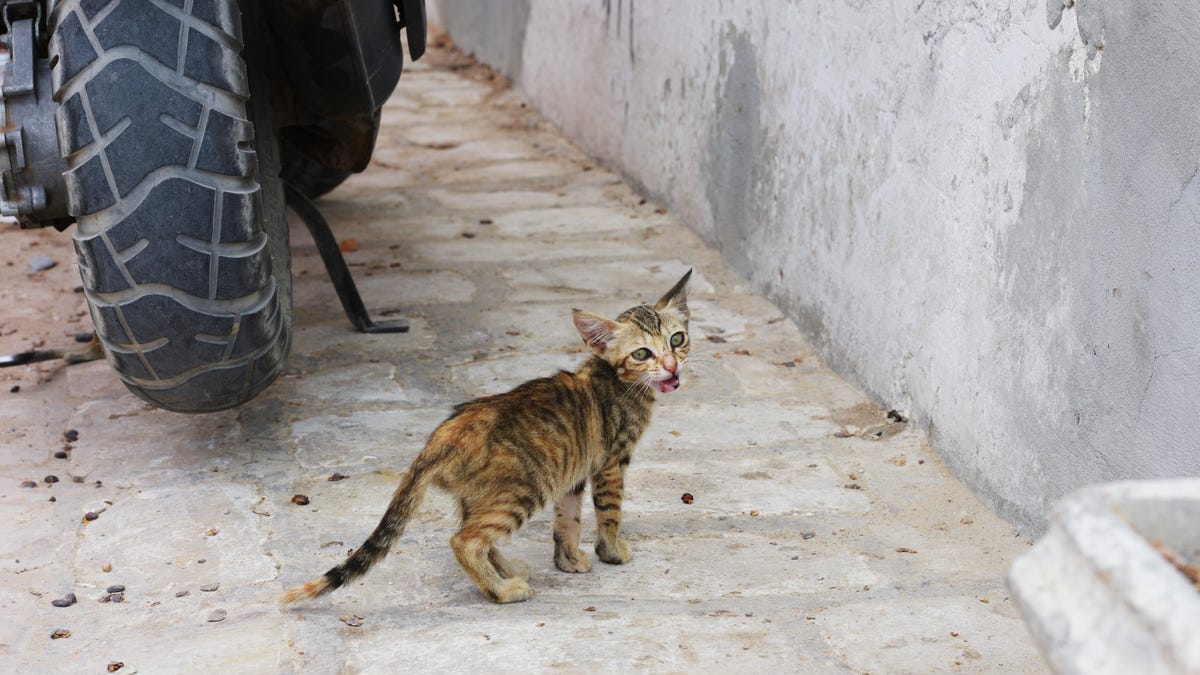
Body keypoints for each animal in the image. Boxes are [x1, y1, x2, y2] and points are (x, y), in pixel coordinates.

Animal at [283, 267, 696, 605]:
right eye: (642, 353)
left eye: (677, 340)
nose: (671, 367)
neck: (615, 378)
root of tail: (441, 436)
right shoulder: (611, 463)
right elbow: (609, 513)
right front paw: (611, 552)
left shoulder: (574, 473)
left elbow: (568, 521)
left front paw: (568, 560)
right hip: (523, 488)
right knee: (464, 540)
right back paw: (502, 590)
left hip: (487, 493)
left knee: (476, 533)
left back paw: (505, 570)